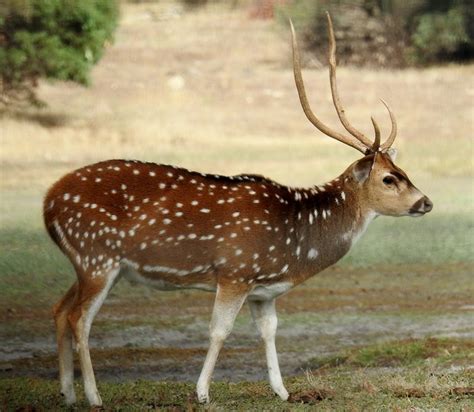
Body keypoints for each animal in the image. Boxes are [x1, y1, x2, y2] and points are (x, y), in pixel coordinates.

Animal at [44, 12, 434, 406]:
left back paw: (68, 393)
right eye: (389, 178)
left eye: (403, 171)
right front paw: (202, 393)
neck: (294, 244)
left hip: (88, 263)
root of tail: (48, 202)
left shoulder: (263, 290)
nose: (426, 202)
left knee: (60, 309)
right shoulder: (235, 270)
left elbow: (269, 331)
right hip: (98, 256)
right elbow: (220, 329)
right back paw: (94, 396)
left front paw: (282, 390)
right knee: (79, 318)